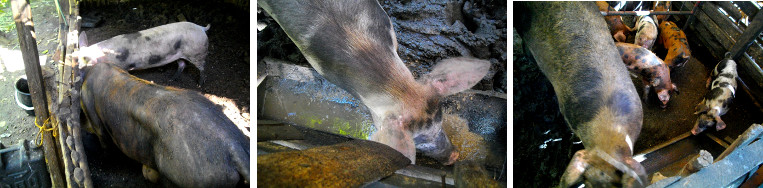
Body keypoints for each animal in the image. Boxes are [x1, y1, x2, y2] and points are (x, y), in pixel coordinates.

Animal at [77, 21, 209, 84]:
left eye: (84, 64)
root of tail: (201, 28)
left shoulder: (122, 65)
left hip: (198, 52)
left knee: (202, 68)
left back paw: (200, 84)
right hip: (180, 54)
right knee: (182, 64)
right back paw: (172, 80)